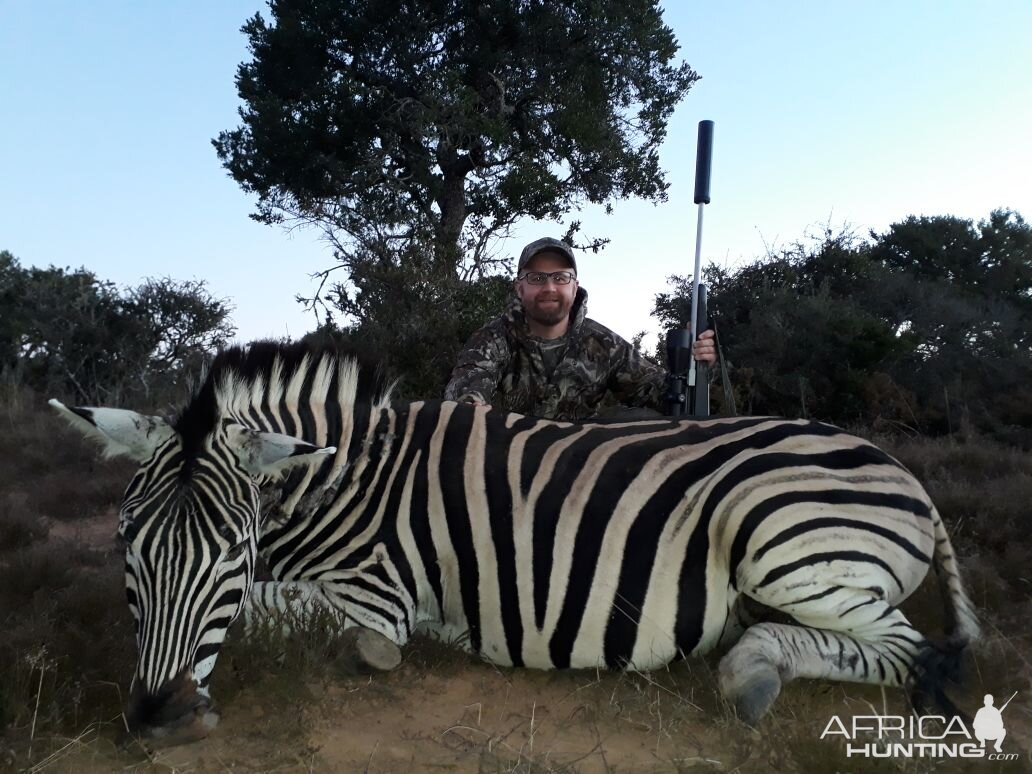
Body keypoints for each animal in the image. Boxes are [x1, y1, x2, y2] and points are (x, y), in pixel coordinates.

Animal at [50, 342, 982, 743]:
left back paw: (751, 674)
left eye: (230, 557)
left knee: (919, 651)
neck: (345, 479)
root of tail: (905, 475)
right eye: (128, 548)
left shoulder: (379, 599)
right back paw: (753, 663)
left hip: (779, 535)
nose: (160, 718)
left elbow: (299, 618)